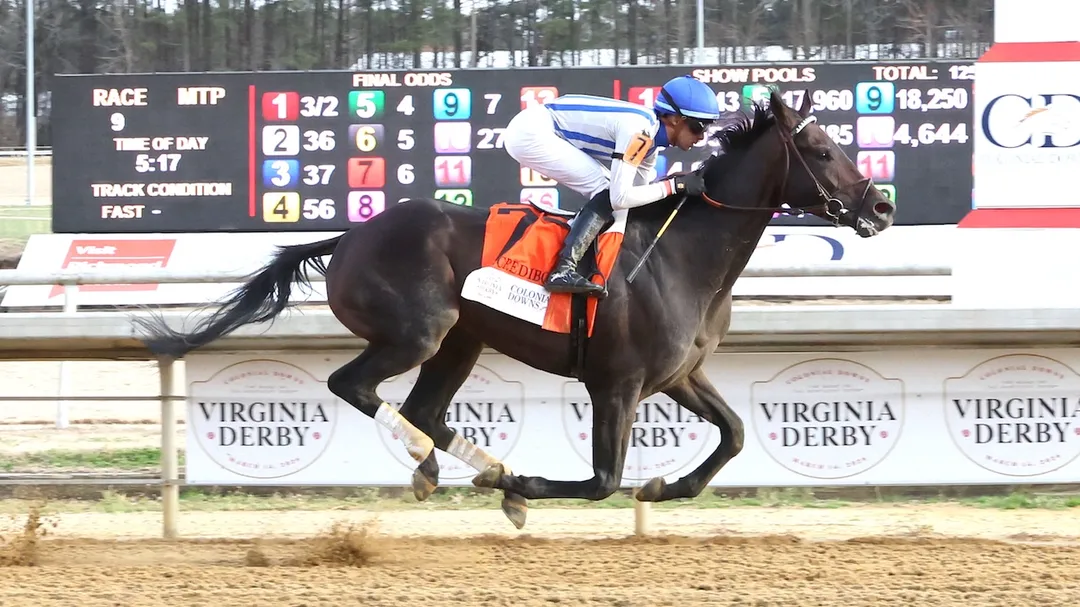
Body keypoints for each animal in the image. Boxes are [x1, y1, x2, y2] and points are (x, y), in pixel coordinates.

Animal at [134, 90, 896, 529]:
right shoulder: (616, 383)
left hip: (461, 341)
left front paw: (663, 487)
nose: (881, 207)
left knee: (425, 409)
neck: (684, 256)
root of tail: (349, 235)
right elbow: (601, 480)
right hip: (419, 332)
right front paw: (534, 482)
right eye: (821, 147)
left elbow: (734, 434)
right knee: (357, 387)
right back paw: (447, 466)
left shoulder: (679, 373)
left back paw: (476, 468)